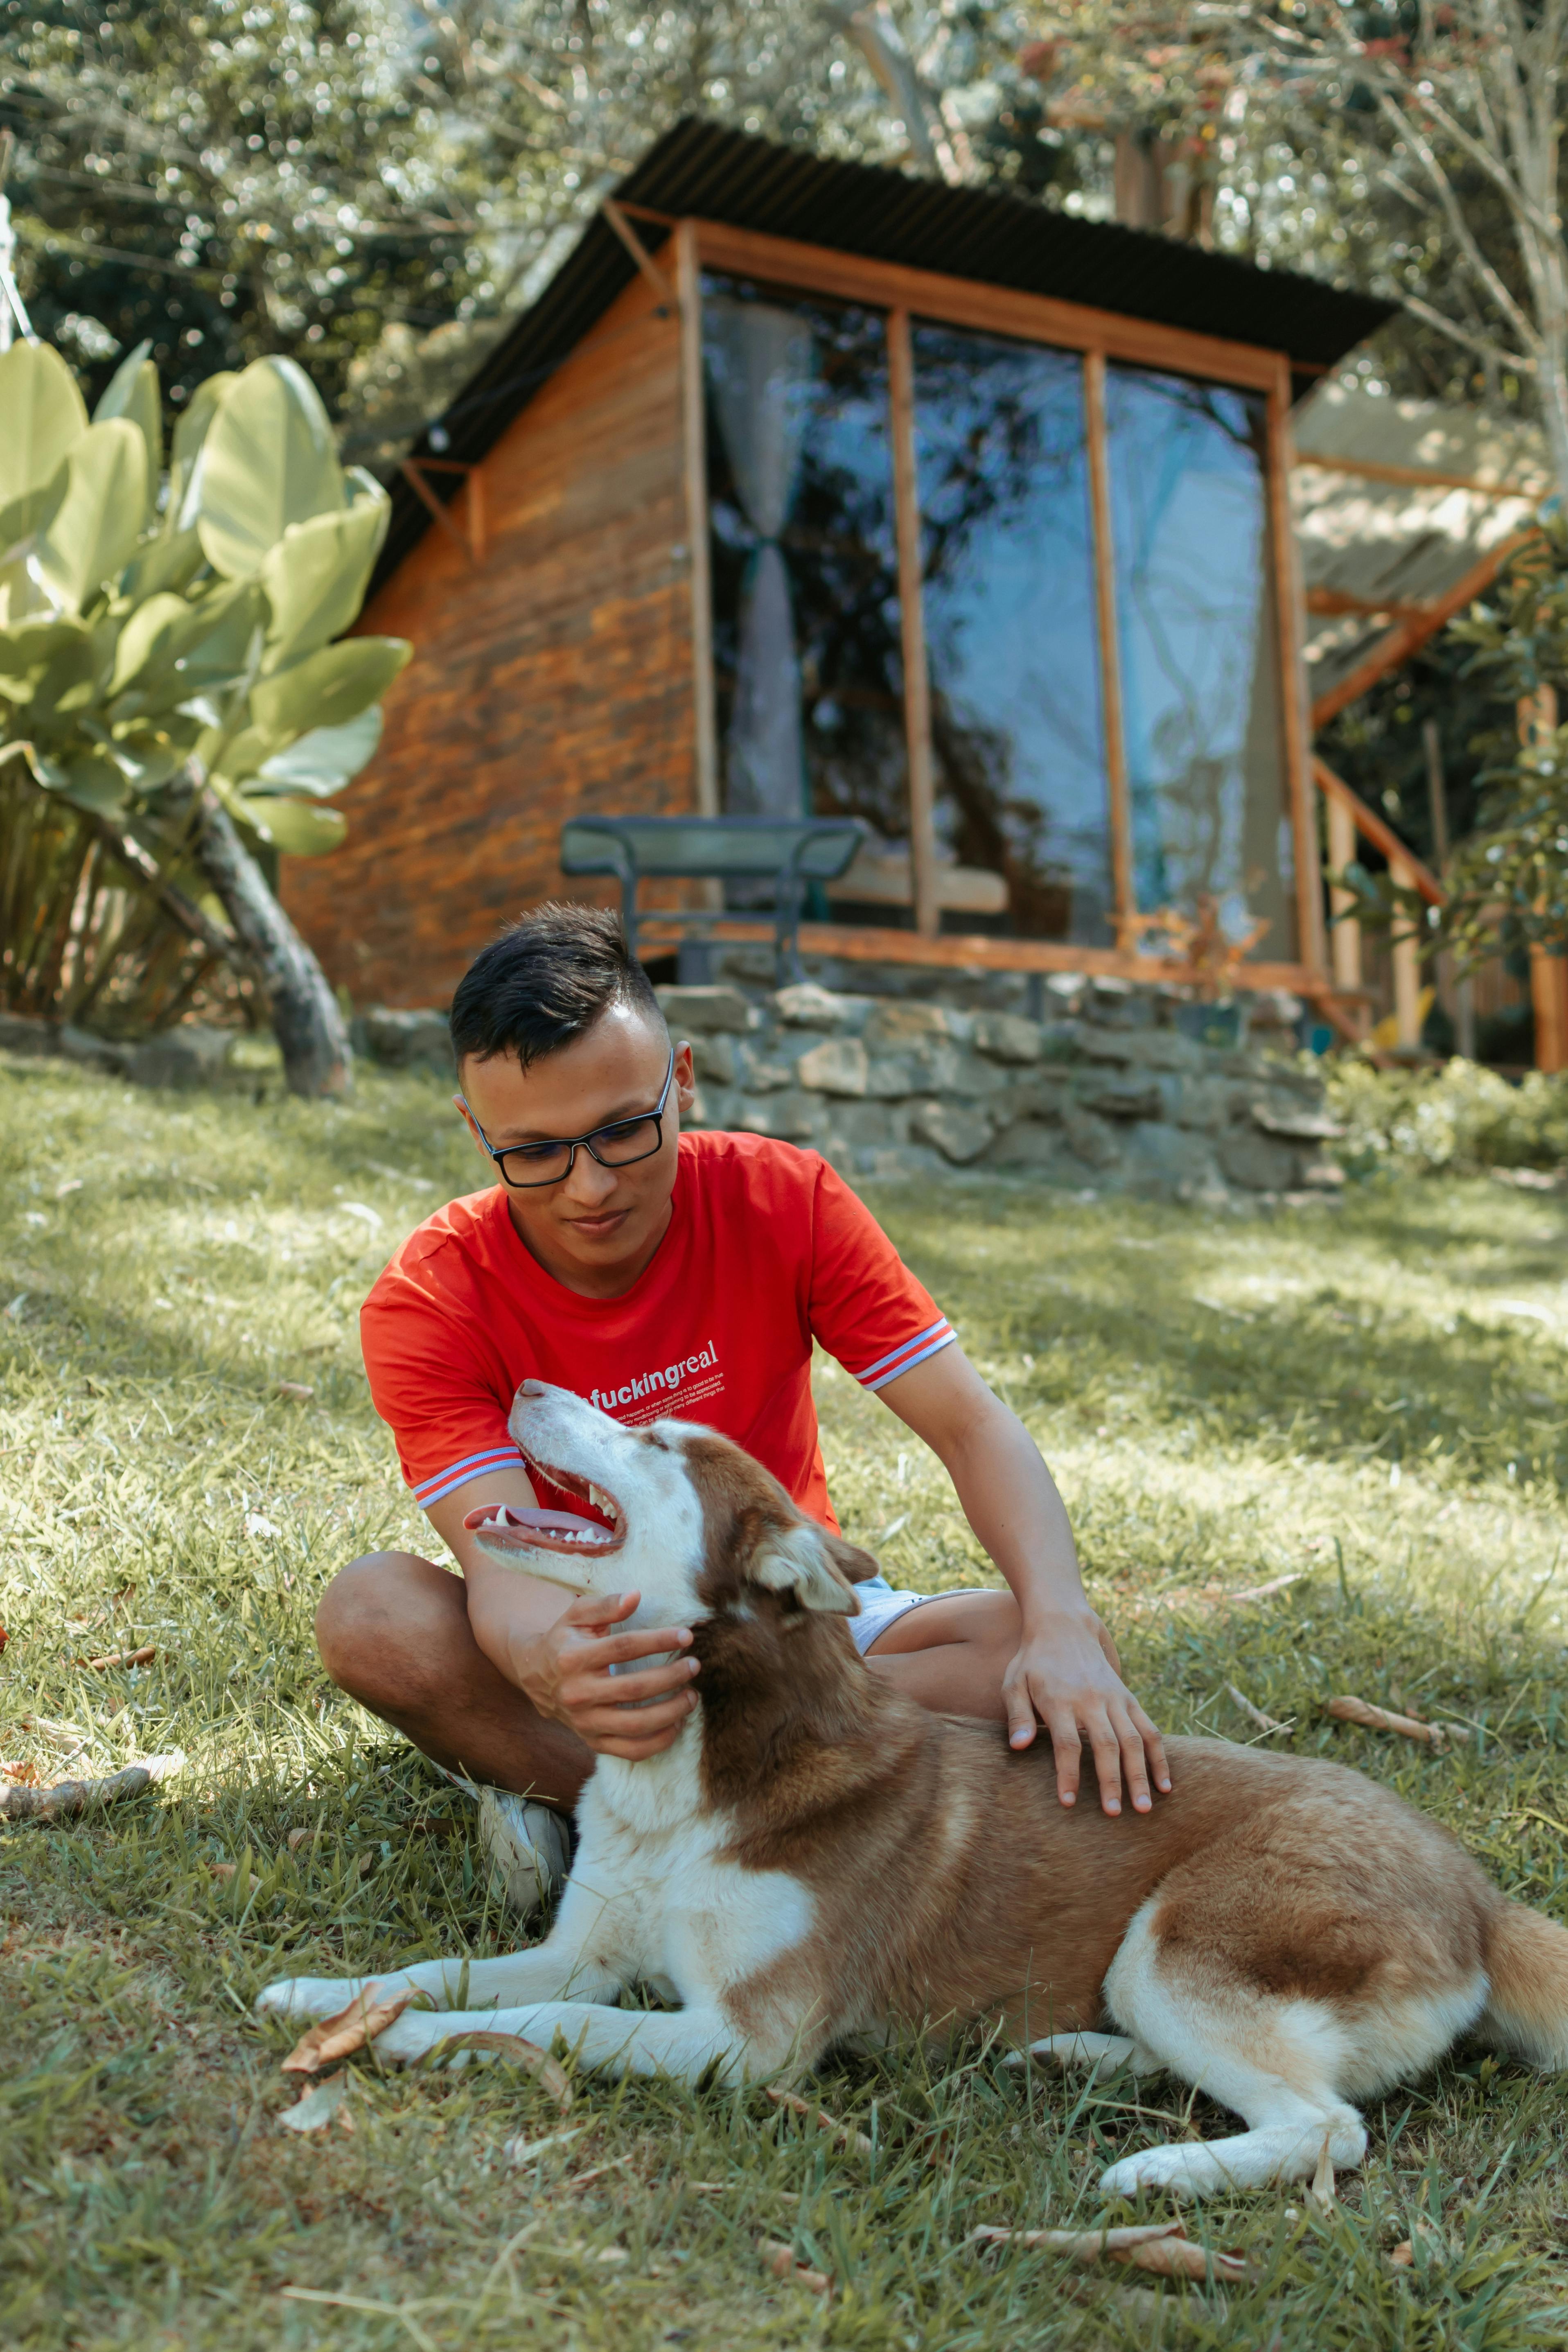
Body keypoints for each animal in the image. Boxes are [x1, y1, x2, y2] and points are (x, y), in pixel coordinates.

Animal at [263, 1383, 1568, 2192]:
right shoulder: (580, 1948)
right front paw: (328, 1996)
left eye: (659, 1446)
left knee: (1328, 2126)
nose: (528, 1383)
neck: (700, 1775)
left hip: (1181, 1938)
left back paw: (1158, 2170)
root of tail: (1480, 1891)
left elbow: (547, 2023)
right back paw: (1075, 2057)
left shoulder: (747, 2041)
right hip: (1149, 1973)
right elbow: (442, 1964)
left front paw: (417, 2040)